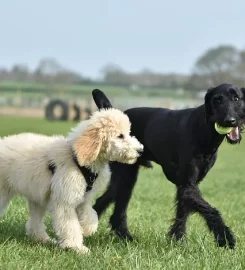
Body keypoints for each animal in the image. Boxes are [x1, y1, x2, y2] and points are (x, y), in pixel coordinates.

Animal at [0, 103, 144, 253]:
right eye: (120, 136)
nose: (140, 150)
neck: (77, 158)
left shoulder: (84, 196)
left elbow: (90, 213)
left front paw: (88, 228)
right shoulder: (65, 200)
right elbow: (70, 226)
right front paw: (76, 247)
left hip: (37, 195)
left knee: (35, 222)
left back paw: (43, 239)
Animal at [92, 84, 245, 249]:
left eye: (236, 98)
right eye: (217, 100)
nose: (229, 121)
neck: (204, 129)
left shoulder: (188, 185)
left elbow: (182, 212)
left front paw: (178, 239)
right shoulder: (187, 184)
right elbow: (210, 210)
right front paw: (225, 238)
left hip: (126, 178)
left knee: (108, 200)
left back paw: (120, 234)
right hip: (125, 174)